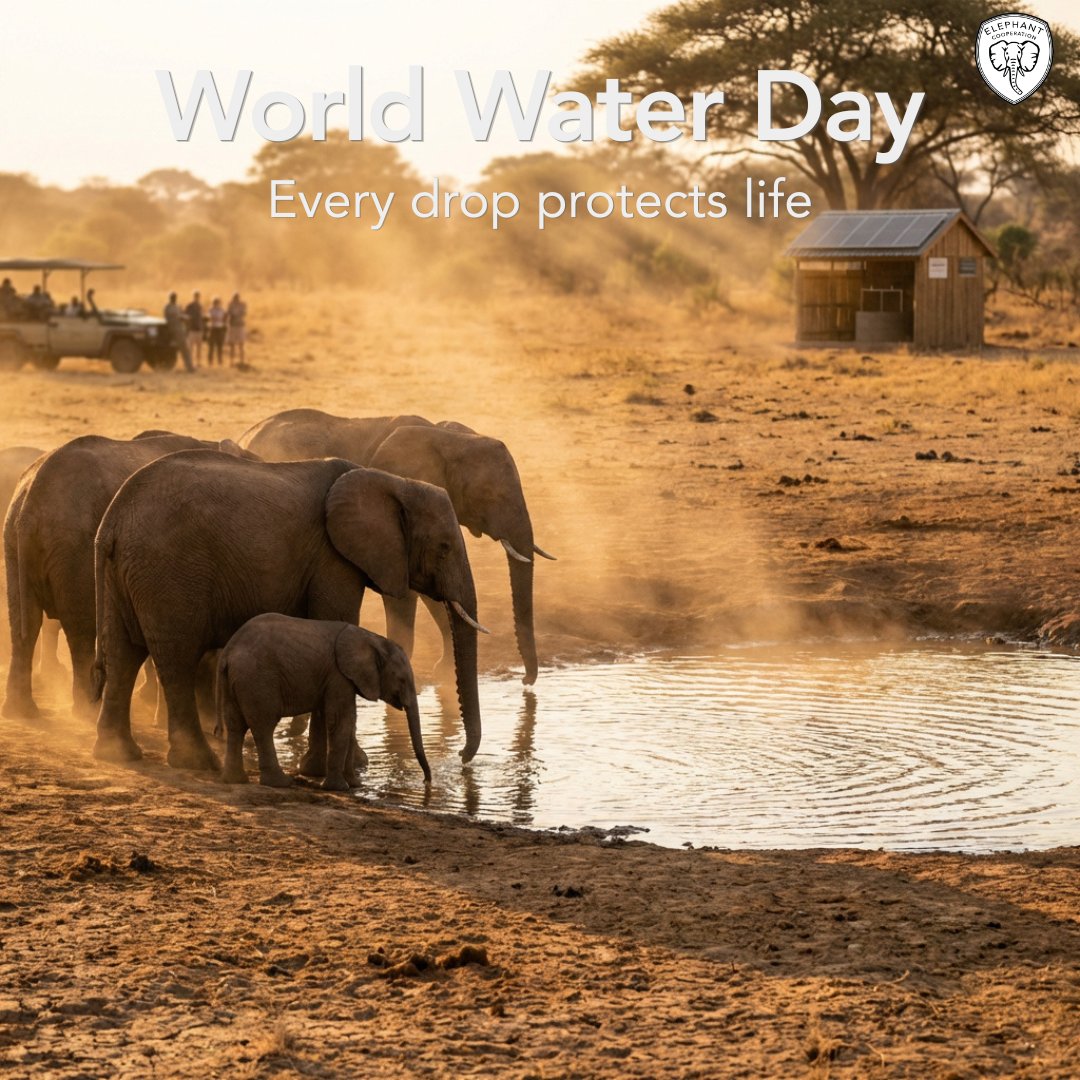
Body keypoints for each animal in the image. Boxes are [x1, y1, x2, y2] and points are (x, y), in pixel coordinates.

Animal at [3, 434, 251, 720]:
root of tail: (30, 501)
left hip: (14, 541)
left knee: (25, 622)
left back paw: (21, 711)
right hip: (72, 546)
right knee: (80, 629)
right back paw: (85, 710)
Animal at [218, 614, 429, 790]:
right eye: (402, 680)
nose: (426, 782)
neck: (373, 638)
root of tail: (228, 652)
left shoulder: (340, 678)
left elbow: (348, 722)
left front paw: (355, 784)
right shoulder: (338, 675)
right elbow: (340, 721)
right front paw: (339, 788)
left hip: (236, 682)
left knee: (235, 725)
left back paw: (235, 780)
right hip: (257, 680)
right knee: (264, 726)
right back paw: (280, 783)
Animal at [238, 409, 554, 685]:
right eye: (489, 495)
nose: (525, 681)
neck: (448, 437)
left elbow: (435, 597)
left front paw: (442, 673)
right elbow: (409, 597)